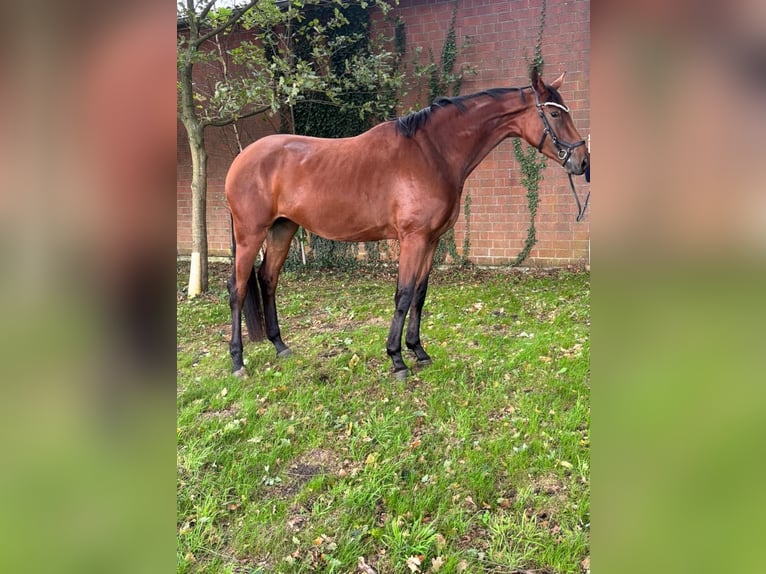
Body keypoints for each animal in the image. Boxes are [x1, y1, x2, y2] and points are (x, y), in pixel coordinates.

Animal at [225, 68, 589, 379]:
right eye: (555, 114)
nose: (583, 162)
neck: (431, 153)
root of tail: (240, 160)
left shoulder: (431, 240)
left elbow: (420, 294)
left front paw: (418, 351)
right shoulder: (412, 239)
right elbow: (403, 295)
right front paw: (397, 359)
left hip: (282, 229)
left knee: (268, 280)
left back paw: (280, 346)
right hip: (250, 235)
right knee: (238, 289)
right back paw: (238, 362)